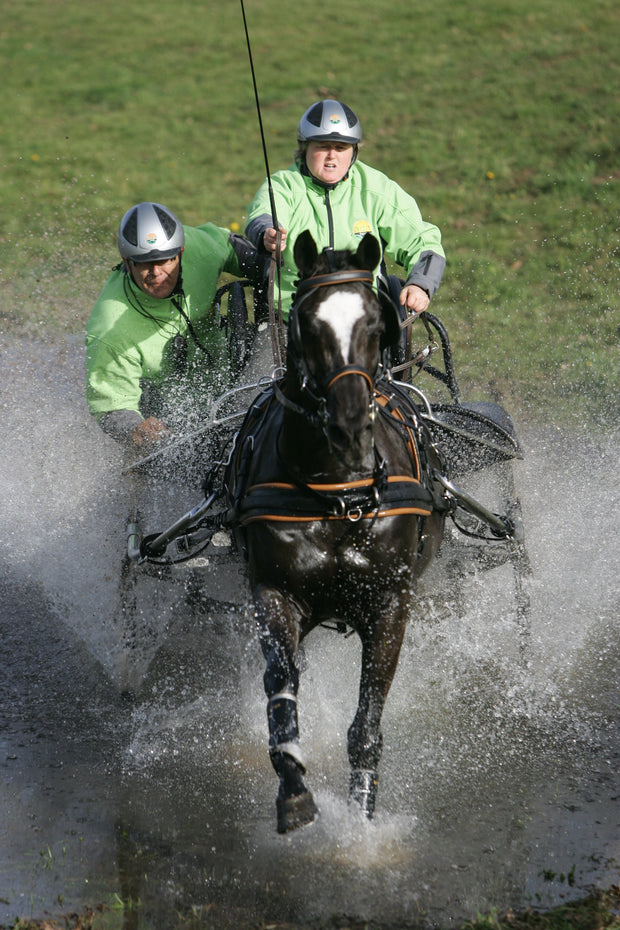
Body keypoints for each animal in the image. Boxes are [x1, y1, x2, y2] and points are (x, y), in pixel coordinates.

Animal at [225, 232, 448, 832]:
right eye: (306, 323)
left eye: (376, 323)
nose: (350, 426)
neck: (338, 493)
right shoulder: (274, 592)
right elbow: (281, 687)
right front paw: (294, 788)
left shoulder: (391, 603)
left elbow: (367, 722)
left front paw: (361, 818)